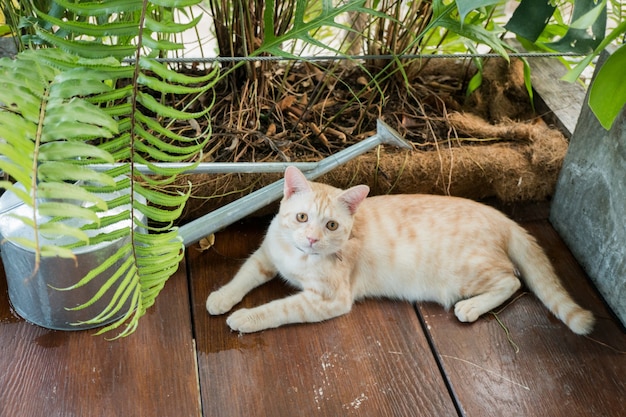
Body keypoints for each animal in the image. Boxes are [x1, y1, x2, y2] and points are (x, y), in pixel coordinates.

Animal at [207, 166, 592, 334]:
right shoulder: (265, 258)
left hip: (467, 272)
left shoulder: (329, 299)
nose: (313, 239)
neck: (298, 258)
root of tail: (500, 215)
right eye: (302, 218)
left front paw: (245, 318)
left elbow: (279, 308)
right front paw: (222, 298)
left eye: (331, 225)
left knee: (512, 280)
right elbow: (241, 277)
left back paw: (471, 307)